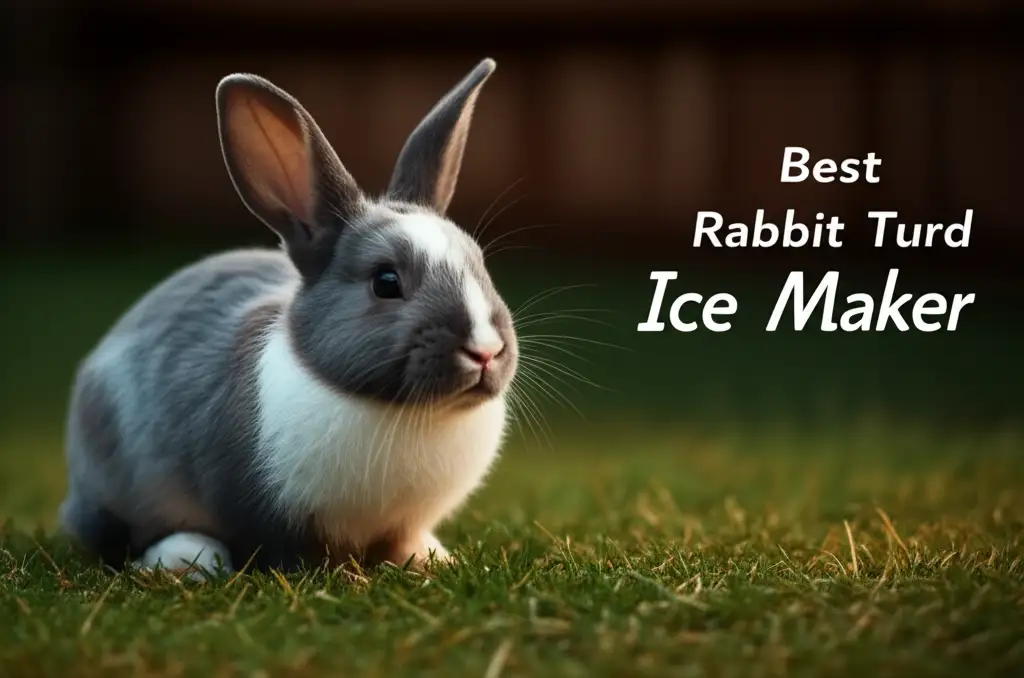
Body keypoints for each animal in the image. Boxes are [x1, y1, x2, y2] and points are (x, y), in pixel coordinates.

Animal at [59, 58, 518, 578]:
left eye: (479, 264)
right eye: (385, 281)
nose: (485, 351)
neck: (407, 412)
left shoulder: (402, 522)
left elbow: (401, 541)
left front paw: (428, 559)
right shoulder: (265, 512)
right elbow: (285, 549)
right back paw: (187, 559)